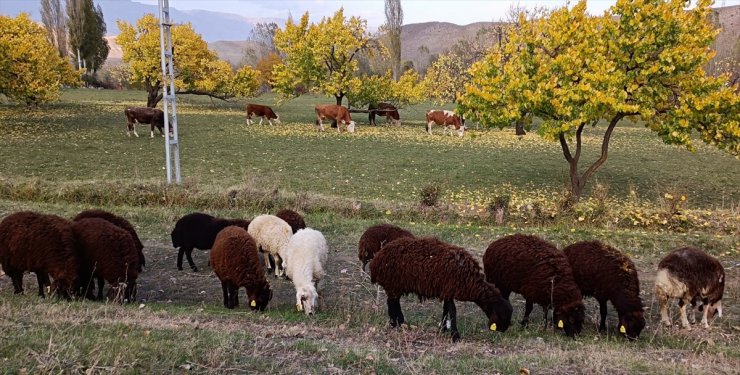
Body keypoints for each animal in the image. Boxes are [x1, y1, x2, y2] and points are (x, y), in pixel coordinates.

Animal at [368, 238, 512, 344]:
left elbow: (446, 309)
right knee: (391, 303)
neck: (471, 282)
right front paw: (455, 336)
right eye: (503, 314)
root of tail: (377, 259)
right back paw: (395, 324)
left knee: (394, 302)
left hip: (396, 285)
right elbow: (453, 311)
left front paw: (443, 329)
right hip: (392, 283)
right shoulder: (449, 288)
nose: (502, 331)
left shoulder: (447, 291)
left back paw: (400, 322)